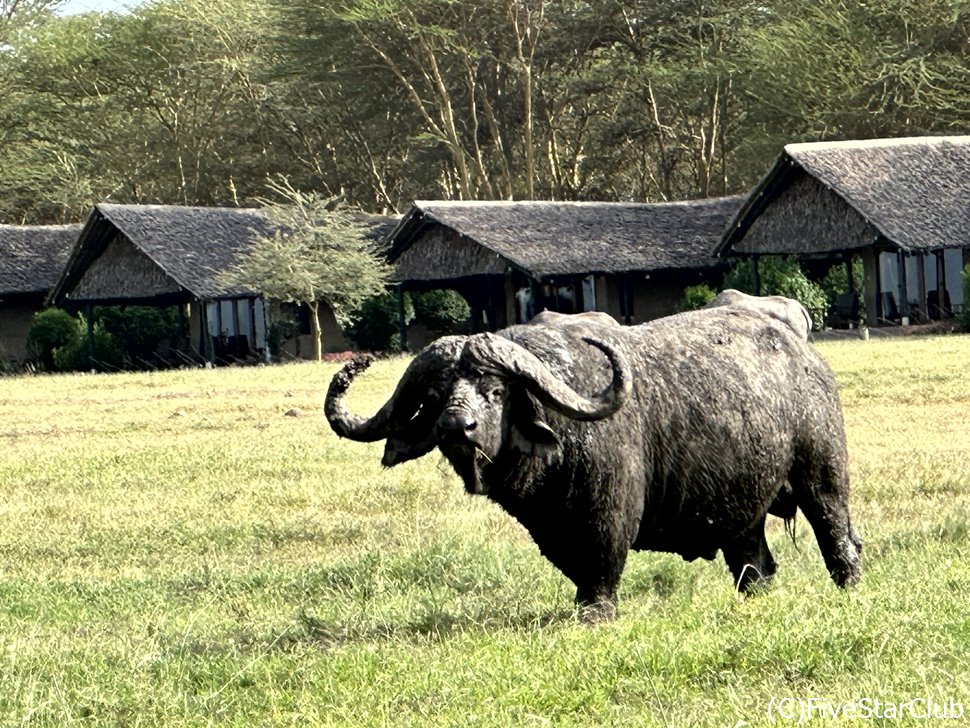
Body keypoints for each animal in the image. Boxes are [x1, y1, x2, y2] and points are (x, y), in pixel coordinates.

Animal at [328, 308, 864, 620]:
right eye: (438, 395)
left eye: (496, 390)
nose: (457, 428)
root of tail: (809, 361)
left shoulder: (608, 515)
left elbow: (602, 566)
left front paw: (596, 616)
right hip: (740, 509)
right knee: (755, 564)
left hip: (823, 478)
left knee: (839, 539)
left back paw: (851, 588)